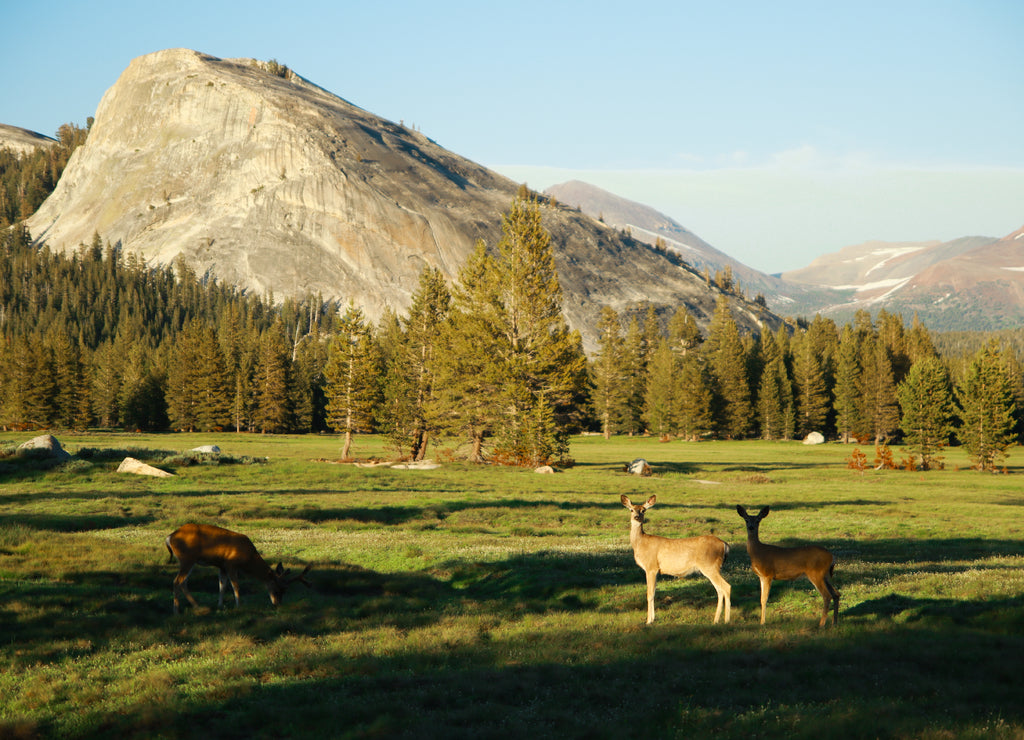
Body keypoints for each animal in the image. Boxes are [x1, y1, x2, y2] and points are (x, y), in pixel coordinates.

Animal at [165, 524, 309, 618]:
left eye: (285, 591)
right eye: (277, 589)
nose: (278, 605)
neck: (248, 557)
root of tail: (169, 537)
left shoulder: (222, 566)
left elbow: (222, 586)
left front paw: (220, 605)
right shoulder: (231, 564)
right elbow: (236, 586)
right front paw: (239, 606)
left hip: (189, 561)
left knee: (183, 582)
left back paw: (197, 607)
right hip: (187, 559)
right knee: (177, 581)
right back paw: (177, 611)